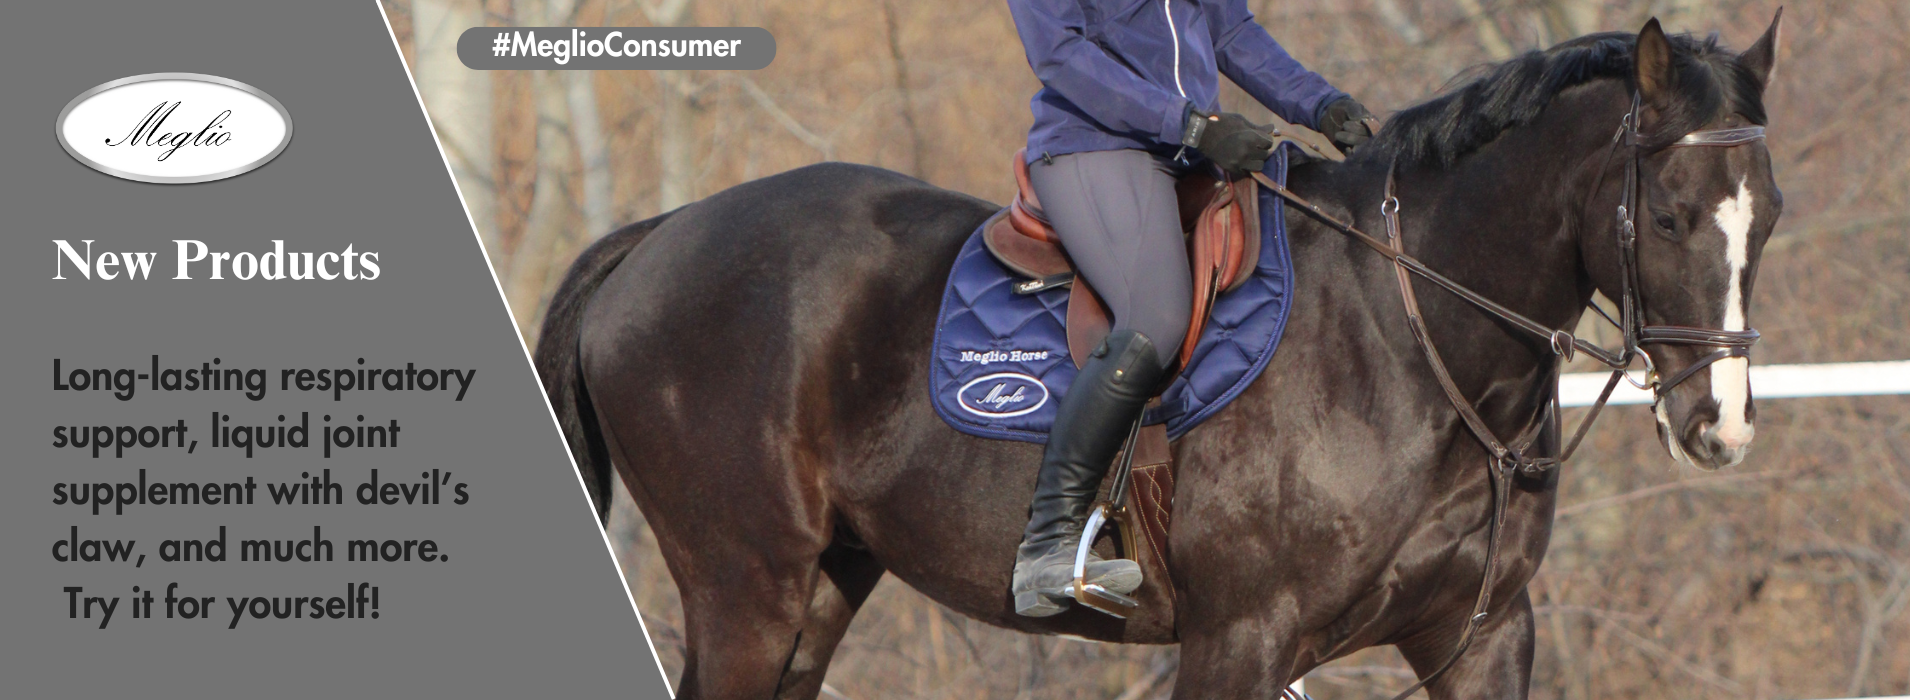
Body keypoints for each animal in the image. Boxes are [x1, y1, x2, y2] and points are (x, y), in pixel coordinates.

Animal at [534, 16, 1784, 699]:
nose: (1718, 425)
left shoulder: (1475, 636)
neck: (1407, 340)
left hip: (819, 585)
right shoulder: (1240, 638)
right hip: (744, 584)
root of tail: (664, 232)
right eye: (1667, 215)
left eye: (1766, 215)